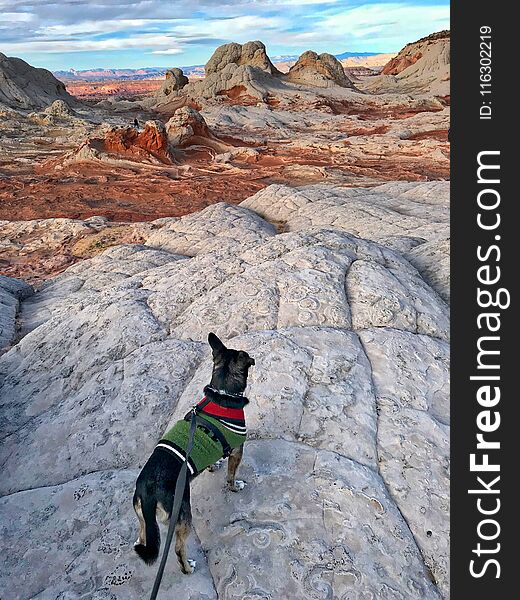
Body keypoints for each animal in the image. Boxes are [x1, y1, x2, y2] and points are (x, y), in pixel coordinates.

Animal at [132, 332, 254, 572]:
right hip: (182, 515)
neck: (222, 392)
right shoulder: (237, 451)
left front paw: (213, 466)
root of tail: (148, 491)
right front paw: (235, 487)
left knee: (143, 538)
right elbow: (231, 476)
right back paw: (187, 568)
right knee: (178, 549)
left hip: (144, 520)